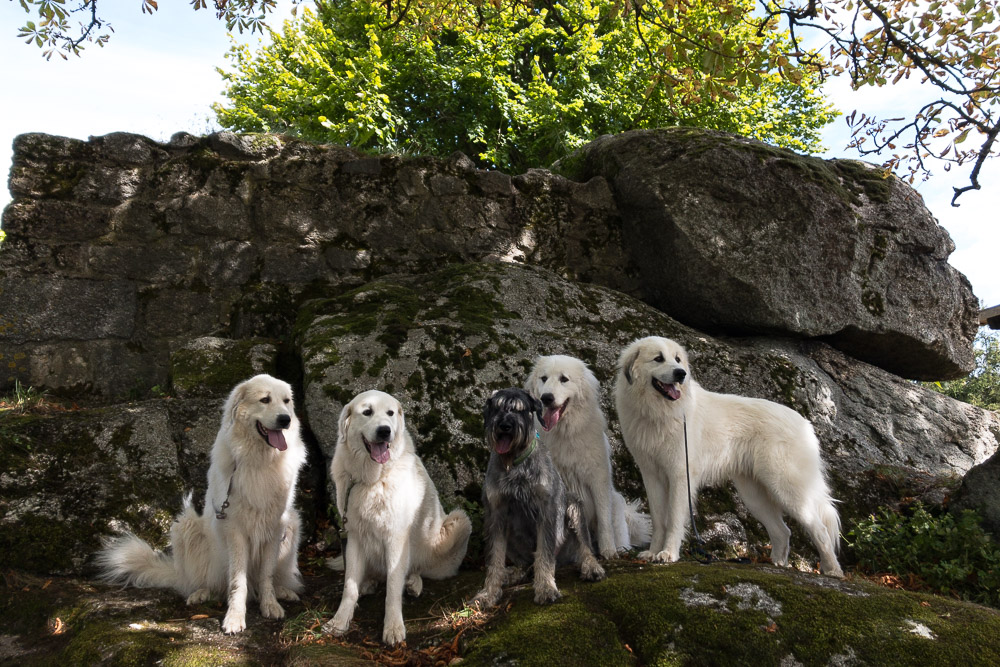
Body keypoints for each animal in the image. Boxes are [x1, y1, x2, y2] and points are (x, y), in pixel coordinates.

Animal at [98, 376, 308, 632]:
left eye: (286, 401)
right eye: (265, 400)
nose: (285, 420)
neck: (259, 460)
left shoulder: (275, 526)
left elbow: (265, 575)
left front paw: (270, 605)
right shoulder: (235, 530)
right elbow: (238, 580)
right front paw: (235, 617)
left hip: (293, 523)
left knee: (271, 578)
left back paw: (283, 591)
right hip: (186, 526)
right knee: (207, 583)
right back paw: (200, 593)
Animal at [324, 392, 472, 648]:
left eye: (390, 413)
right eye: (367, 412)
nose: (385, 431)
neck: (372, 479)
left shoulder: (396, 538)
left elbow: (393, 586)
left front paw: (393, 627)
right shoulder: (354, 537)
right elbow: (349, 586)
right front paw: (340, 621)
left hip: (457, 521)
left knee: (418, 569)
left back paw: (413, 583)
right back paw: (369, 583)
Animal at [472, 388, 604, 608]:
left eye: (521, 409)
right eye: (497, 407)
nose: (505, 425)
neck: (514, 464)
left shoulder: (546, 510)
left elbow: (544, 553)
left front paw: (546, 588)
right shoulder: (495, 515)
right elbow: (494, 558)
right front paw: (488, 593)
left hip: (574, 507)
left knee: (584, 547)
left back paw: (591, 567)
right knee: (526, 565)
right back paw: (512, 574)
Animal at [524, 354, 656, 560]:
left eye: (564, 379)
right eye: (543, 378)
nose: (546, 398)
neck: (565, 433)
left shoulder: (598, 480)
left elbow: (603, 521)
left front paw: (608, 551)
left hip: (616, 502)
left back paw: (619, 549)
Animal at [612, 340, 840, 580]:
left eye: (677, 359)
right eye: (658, 358)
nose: (681, 374)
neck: (659, 411)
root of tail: (805, 423)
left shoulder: (680, 475)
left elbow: (673, 519)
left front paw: (668, 554)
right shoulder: (651, 475)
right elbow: (658, 520)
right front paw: (653, 552)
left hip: (787, 488)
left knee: (820, 530)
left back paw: (833, 570)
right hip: (754, 495)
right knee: (783, 531)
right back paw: (777, 564)